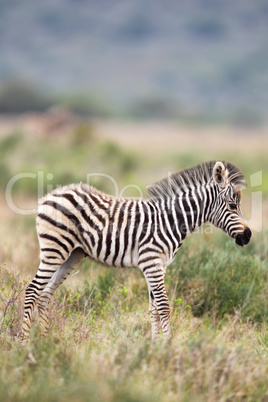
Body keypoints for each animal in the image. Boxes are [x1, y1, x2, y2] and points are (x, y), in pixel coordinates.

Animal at [20, 161, 251, 346]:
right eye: (232, 205)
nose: (248, 236)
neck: (171, 220)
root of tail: (50, 195)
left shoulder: (159, 266)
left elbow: (153, 308)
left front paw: (155, 346)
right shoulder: (152, 262)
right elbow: (164, 306)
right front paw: (168, 346)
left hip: (72, 255)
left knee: (45, 294)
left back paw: (47, 341)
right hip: (55, 249)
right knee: (32, 290)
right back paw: (23, 344)